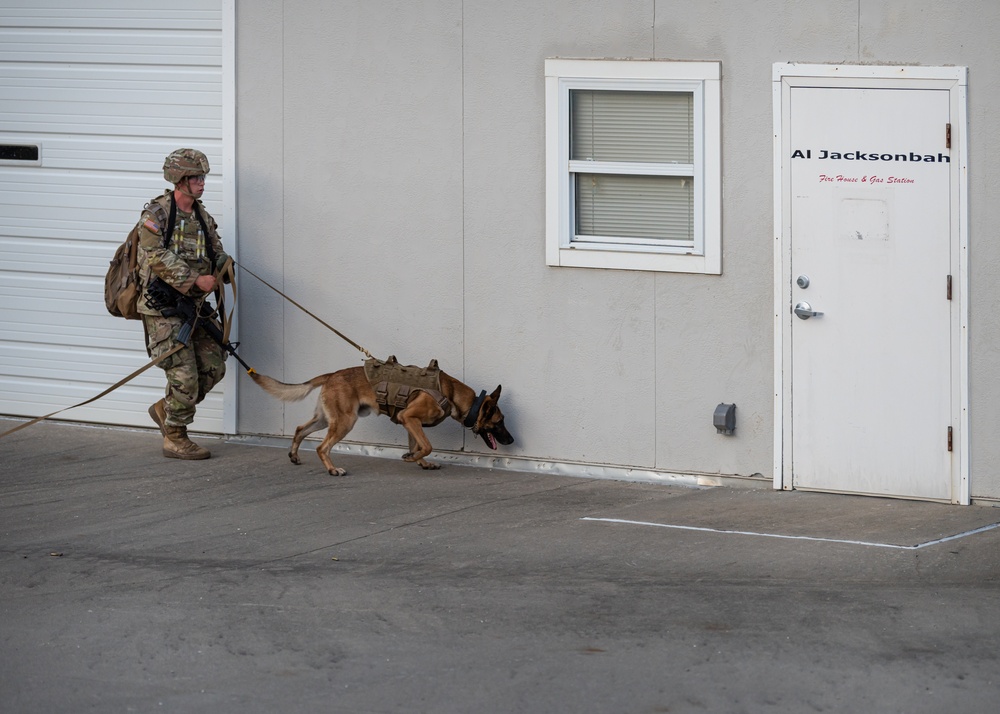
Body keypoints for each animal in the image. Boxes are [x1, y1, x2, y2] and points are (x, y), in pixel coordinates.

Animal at [250, 358, 516, 476]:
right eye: (500, 422)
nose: (512, 440)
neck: (452, 395)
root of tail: (332, 374)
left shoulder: (409, 422)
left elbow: (418, 444)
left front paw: (420, 461)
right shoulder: (410, 417)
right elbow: (427, 445)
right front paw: (413, 458)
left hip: (326, 419)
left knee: (299, 429)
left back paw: (294, 455)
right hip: (344, 422)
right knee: (321, 447)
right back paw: (333, 469)